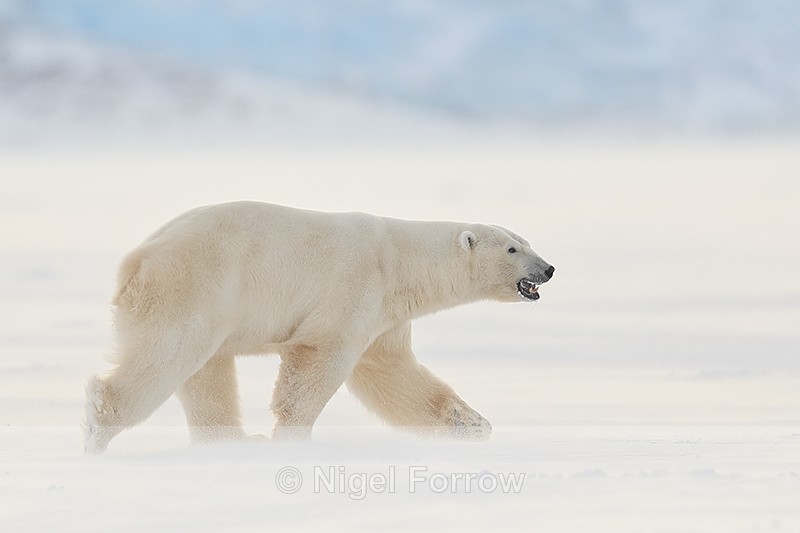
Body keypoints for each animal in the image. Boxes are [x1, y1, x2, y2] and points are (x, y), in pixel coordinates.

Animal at [84, 201, 554, 453]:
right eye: (513, 249)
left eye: (527, 241)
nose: (548, 268)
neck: (399, 260)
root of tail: (135, 262)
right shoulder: (354, 288)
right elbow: (320, 359)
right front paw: (293, 439)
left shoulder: (385, 315)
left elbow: (392, 373)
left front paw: (472, 424)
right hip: (193, 288)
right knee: (169, 356)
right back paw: (98, 424)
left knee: (206, 373)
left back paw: (235, 442)